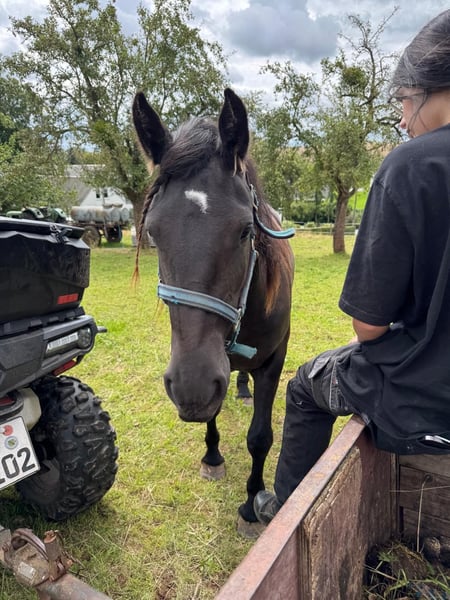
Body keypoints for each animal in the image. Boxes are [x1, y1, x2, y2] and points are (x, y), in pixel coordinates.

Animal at [132, 88, 295, 536]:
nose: (191, 387)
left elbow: (260, 437)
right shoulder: (206, 362)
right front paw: (212, 457)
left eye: (245, 231)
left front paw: (250, 504)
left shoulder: (273, 361)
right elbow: (213, 412)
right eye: (153, 233)